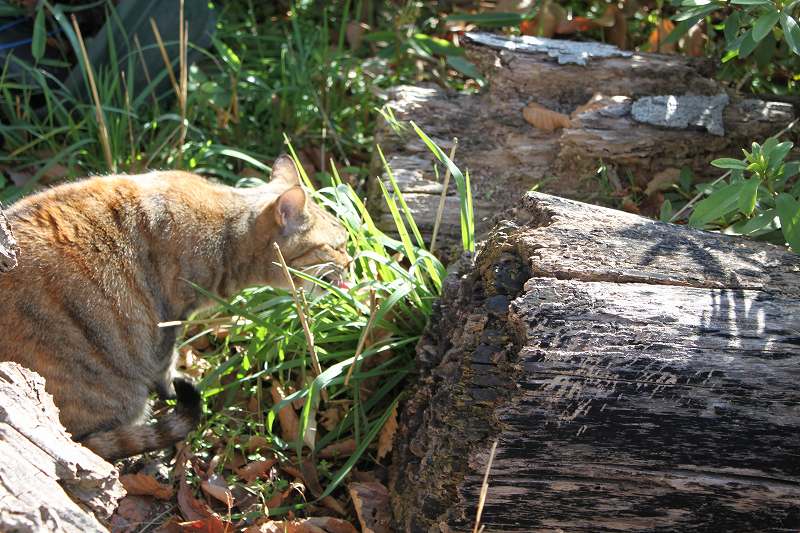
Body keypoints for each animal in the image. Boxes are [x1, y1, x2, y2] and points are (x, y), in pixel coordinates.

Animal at [0, 153, 350, 458]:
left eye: (346, 241)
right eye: (337, 246)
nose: (352, 262)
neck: (227, 236)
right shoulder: (169, 319)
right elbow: (166, 364)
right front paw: (172, 387)